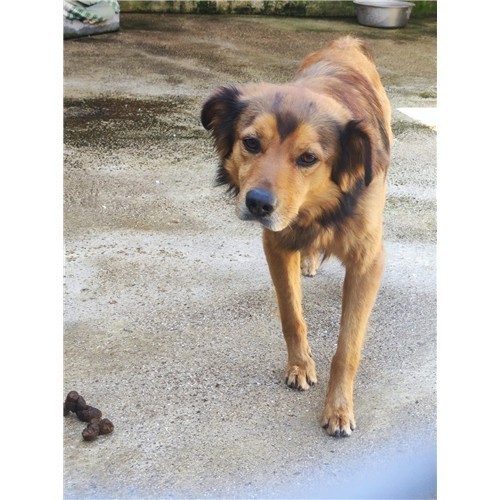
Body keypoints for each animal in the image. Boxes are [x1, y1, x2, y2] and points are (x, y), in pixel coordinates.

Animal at [201, 36, 392, 437]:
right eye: (251, 143)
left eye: (307, 158)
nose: (258, 204)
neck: (318, 210)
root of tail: (345, 41)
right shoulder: (276, 244)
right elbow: (292, 314)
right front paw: (301, 366)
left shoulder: (368, 260)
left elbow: (347, 346)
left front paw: (338, 408)